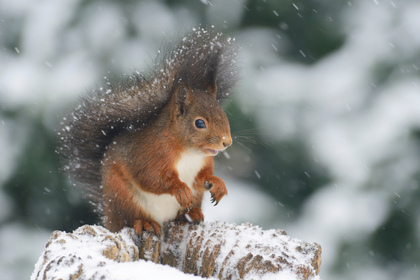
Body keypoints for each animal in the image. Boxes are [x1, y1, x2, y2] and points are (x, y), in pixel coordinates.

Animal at [57, 27, 238, 236]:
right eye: (199, 123)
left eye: (223, 114)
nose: (227, 142)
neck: (188, 151)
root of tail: (110, 219)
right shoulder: (147, 154)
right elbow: (152, 178)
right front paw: (180, 188)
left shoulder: (202, 164)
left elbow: (202, 178)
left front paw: (217, 183)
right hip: (124, 198)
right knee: (131, 218)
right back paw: (145, 223)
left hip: (193, 198)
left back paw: (192, 213)